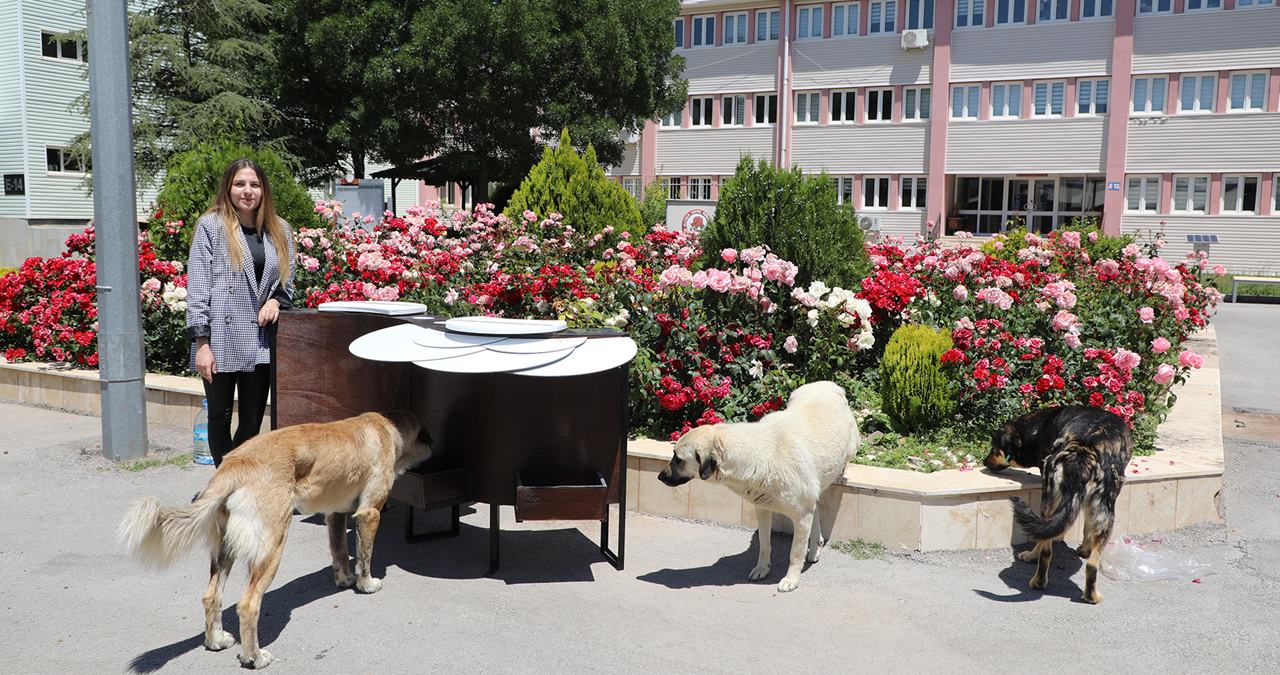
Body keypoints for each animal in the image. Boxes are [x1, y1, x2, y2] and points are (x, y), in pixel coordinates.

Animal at [118, 409, 432, 666]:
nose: (435, 447)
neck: (387, 427)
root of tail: (234, 465)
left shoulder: (335, 514)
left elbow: (340, 552)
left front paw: (344, 580)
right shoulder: (368, 514)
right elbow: (364, 557)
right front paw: (366, 584)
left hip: (225, 551)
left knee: (211, 597)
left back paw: (216, 641)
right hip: (272, 547)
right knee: (248, 605)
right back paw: (254, 658)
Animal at [660, 379, 860, 591]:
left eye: (678, 459)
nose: (659, 476)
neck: (762, 455)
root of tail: (828, 383)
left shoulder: (801, 516)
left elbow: (795, 552)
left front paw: (791, 579)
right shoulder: (763, 509)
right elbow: (765, 544)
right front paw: (762, 569)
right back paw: (815, 548)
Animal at [988, 404, 1131, 604]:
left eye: (994, 449)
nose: (984, 462)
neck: (1036, 427)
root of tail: (1082, 454)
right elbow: (1086, 528)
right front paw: (1085, 548)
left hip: (1062, 503)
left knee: (1055, 553)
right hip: (1101, 512)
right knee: (1071, 558)